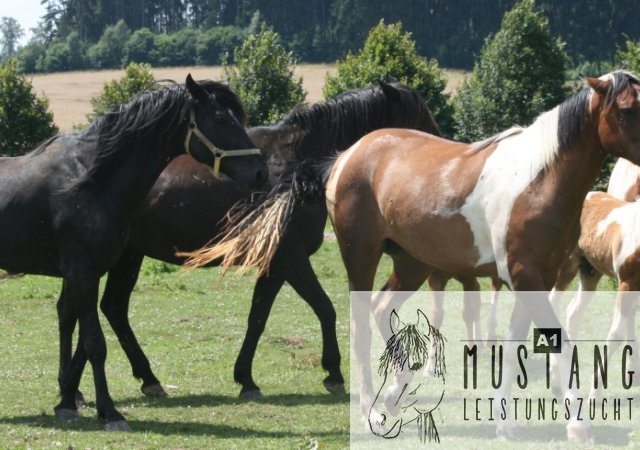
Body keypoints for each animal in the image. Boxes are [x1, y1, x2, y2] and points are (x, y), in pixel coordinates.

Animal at [1, 75, 266, 430]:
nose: (260, 172)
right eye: (221, 119)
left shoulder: (89, 271)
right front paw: (110, 412)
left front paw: (69, 401)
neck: (90, 179)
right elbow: (95, 344)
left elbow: (83, 336)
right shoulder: (82, 272)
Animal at [57, 77, 438, 400]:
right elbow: (324, 308)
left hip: (126, 257)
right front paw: (332, 372)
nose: (441, 149)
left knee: (107, 307)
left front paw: (246, 378)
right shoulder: (291, 258)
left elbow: (257, 318)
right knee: (103, 308)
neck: (296, 167)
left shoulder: (275, 264)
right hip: (119, 258)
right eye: (419, 116)